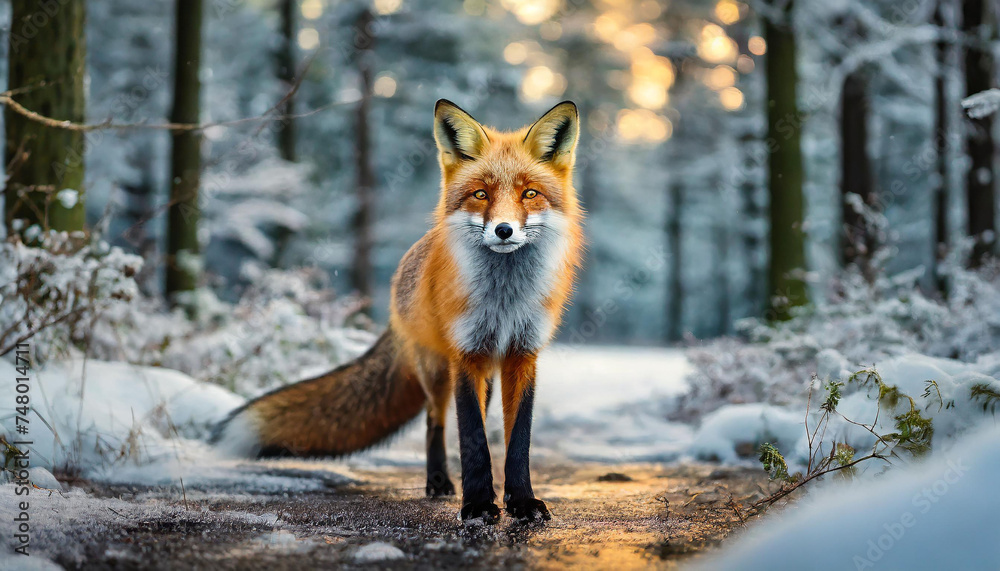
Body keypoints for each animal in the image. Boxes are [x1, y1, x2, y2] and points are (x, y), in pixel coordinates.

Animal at [212, 99, 583, 524]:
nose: (503, 230)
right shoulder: (465, 354)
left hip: (483, 371)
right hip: (437, 370)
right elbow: (472, 436)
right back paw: (439, 483)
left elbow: (517, 440)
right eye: (480, 194)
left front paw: (520, 501)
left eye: (530, 193)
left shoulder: (523, 354)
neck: (504, 301)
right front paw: (476, 505)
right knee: (434, 421)